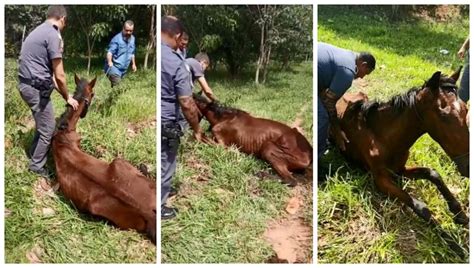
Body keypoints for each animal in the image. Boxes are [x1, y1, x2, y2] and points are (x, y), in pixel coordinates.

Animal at [334, 68, 470, 256]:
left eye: (465, 109)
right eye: (443, 115)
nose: (468, 166)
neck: (382, 136)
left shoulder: (400, 170)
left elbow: (433, 173)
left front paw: (459, 214)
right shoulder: (381, 180)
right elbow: (421, 207)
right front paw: (453, 244)